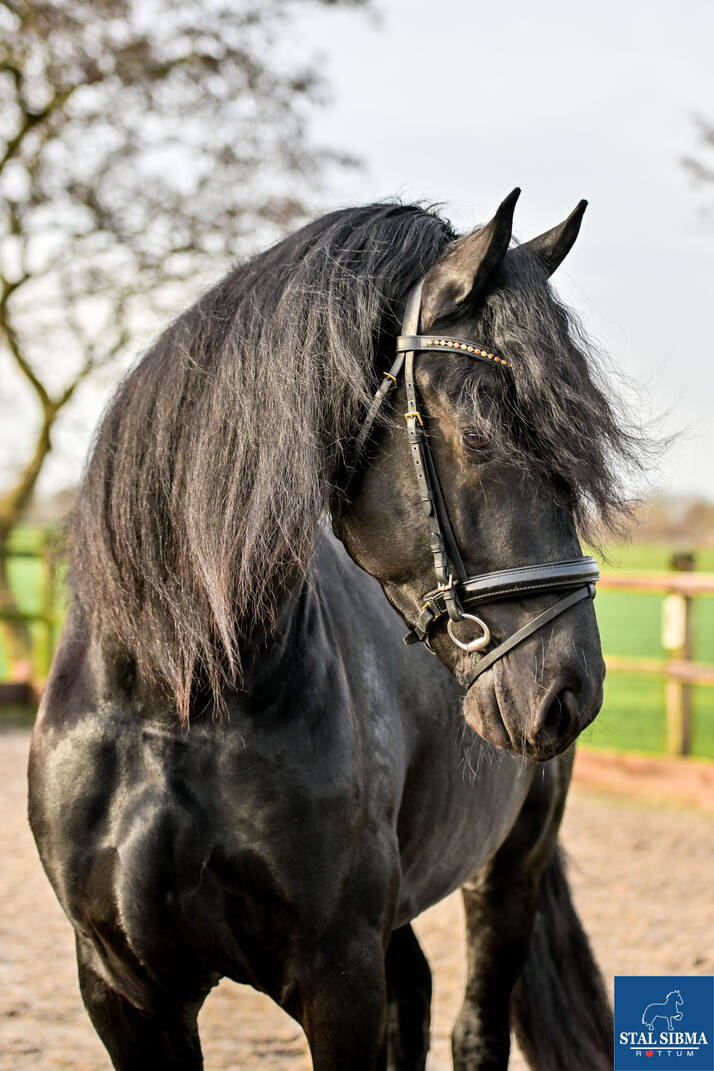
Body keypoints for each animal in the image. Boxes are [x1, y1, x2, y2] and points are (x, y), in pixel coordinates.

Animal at [29, 194, 642, 1071]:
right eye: (482, 436)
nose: (571, 689)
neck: (171, 700)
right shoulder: (124, 989)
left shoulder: (339, 975)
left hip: (509, 867)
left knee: (473, 1025)